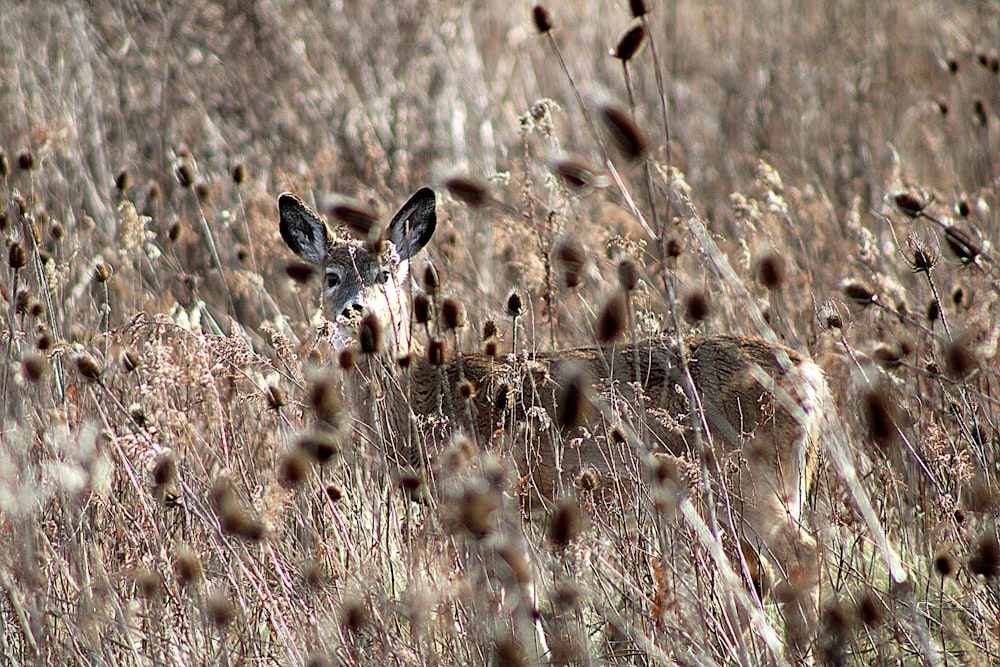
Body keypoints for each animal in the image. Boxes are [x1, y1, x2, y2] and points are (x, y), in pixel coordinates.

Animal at [276, 188, 828, 664]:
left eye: (388, 272)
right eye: (331, 275)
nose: (356, 311)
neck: (421, 397)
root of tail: (812, 378)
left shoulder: (486, 503)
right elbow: (524, 601)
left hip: (749, 482)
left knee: (803, 555)